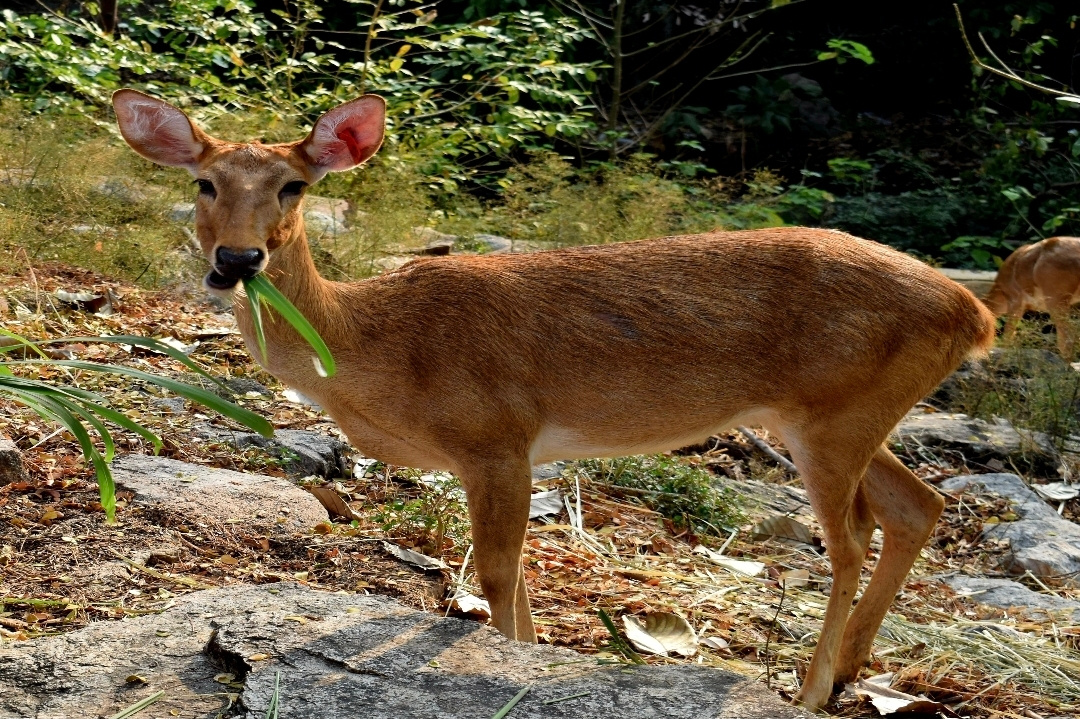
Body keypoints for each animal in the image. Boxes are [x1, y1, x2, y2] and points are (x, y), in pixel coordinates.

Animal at [112, 88, 996, 710]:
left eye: (294, 186)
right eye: (203, 182)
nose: (237, 259)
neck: (372, 349)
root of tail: (974, 312)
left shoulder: (495, 433)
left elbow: (498, 574)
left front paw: (512, 667)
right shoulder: (506, 451)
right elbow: (514, 577)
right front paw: (529, 657)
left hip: (833, 414)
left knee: (849, 541)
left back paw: (810, 690)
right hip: (842, 413)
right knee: (919, 504)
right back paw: (849, 672)